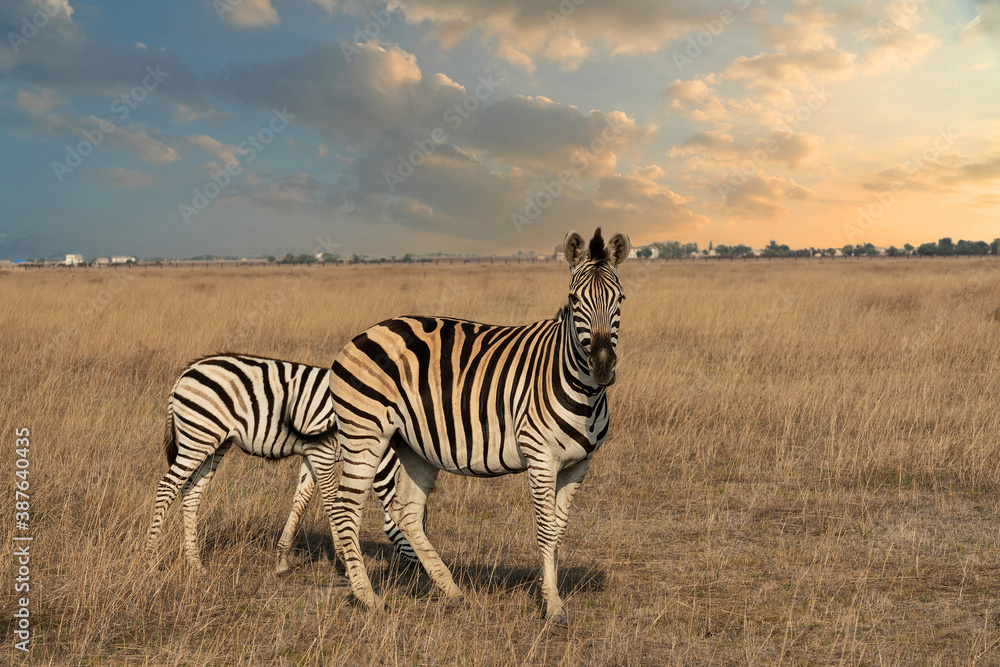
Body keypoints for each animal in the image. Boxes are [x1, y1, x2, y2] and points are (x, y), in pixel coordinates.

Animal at [144, 354, 420, 574]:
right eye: (418, 525)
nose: (417, 572)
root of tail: (186, 372)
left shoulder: (312, 454)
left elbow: (301, 501)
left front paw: (282, 560)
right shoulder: (322, 452)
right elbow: (332, 502)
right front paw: (344, 560)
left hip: (214, 443)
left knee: (192, 492)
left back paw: (195, 564)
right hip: (198, 437)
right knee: (167, 487)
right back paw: (150, 559)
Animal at [327, 228, 629, 625]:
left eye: (620, 298)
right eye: (574, 299)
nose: (602, 367)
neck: (583, 391)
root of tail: (364, 333)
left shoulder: (580, 464)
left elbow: (560, 529)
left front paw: (548, 589)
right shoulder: (541, 458)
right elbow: (546, 529)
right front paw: (552, 605)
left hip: (414, 446)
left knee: (407, 513)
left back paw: (451, 590)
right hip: (365, 432)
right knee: (347, 508)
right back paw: (367, 597)